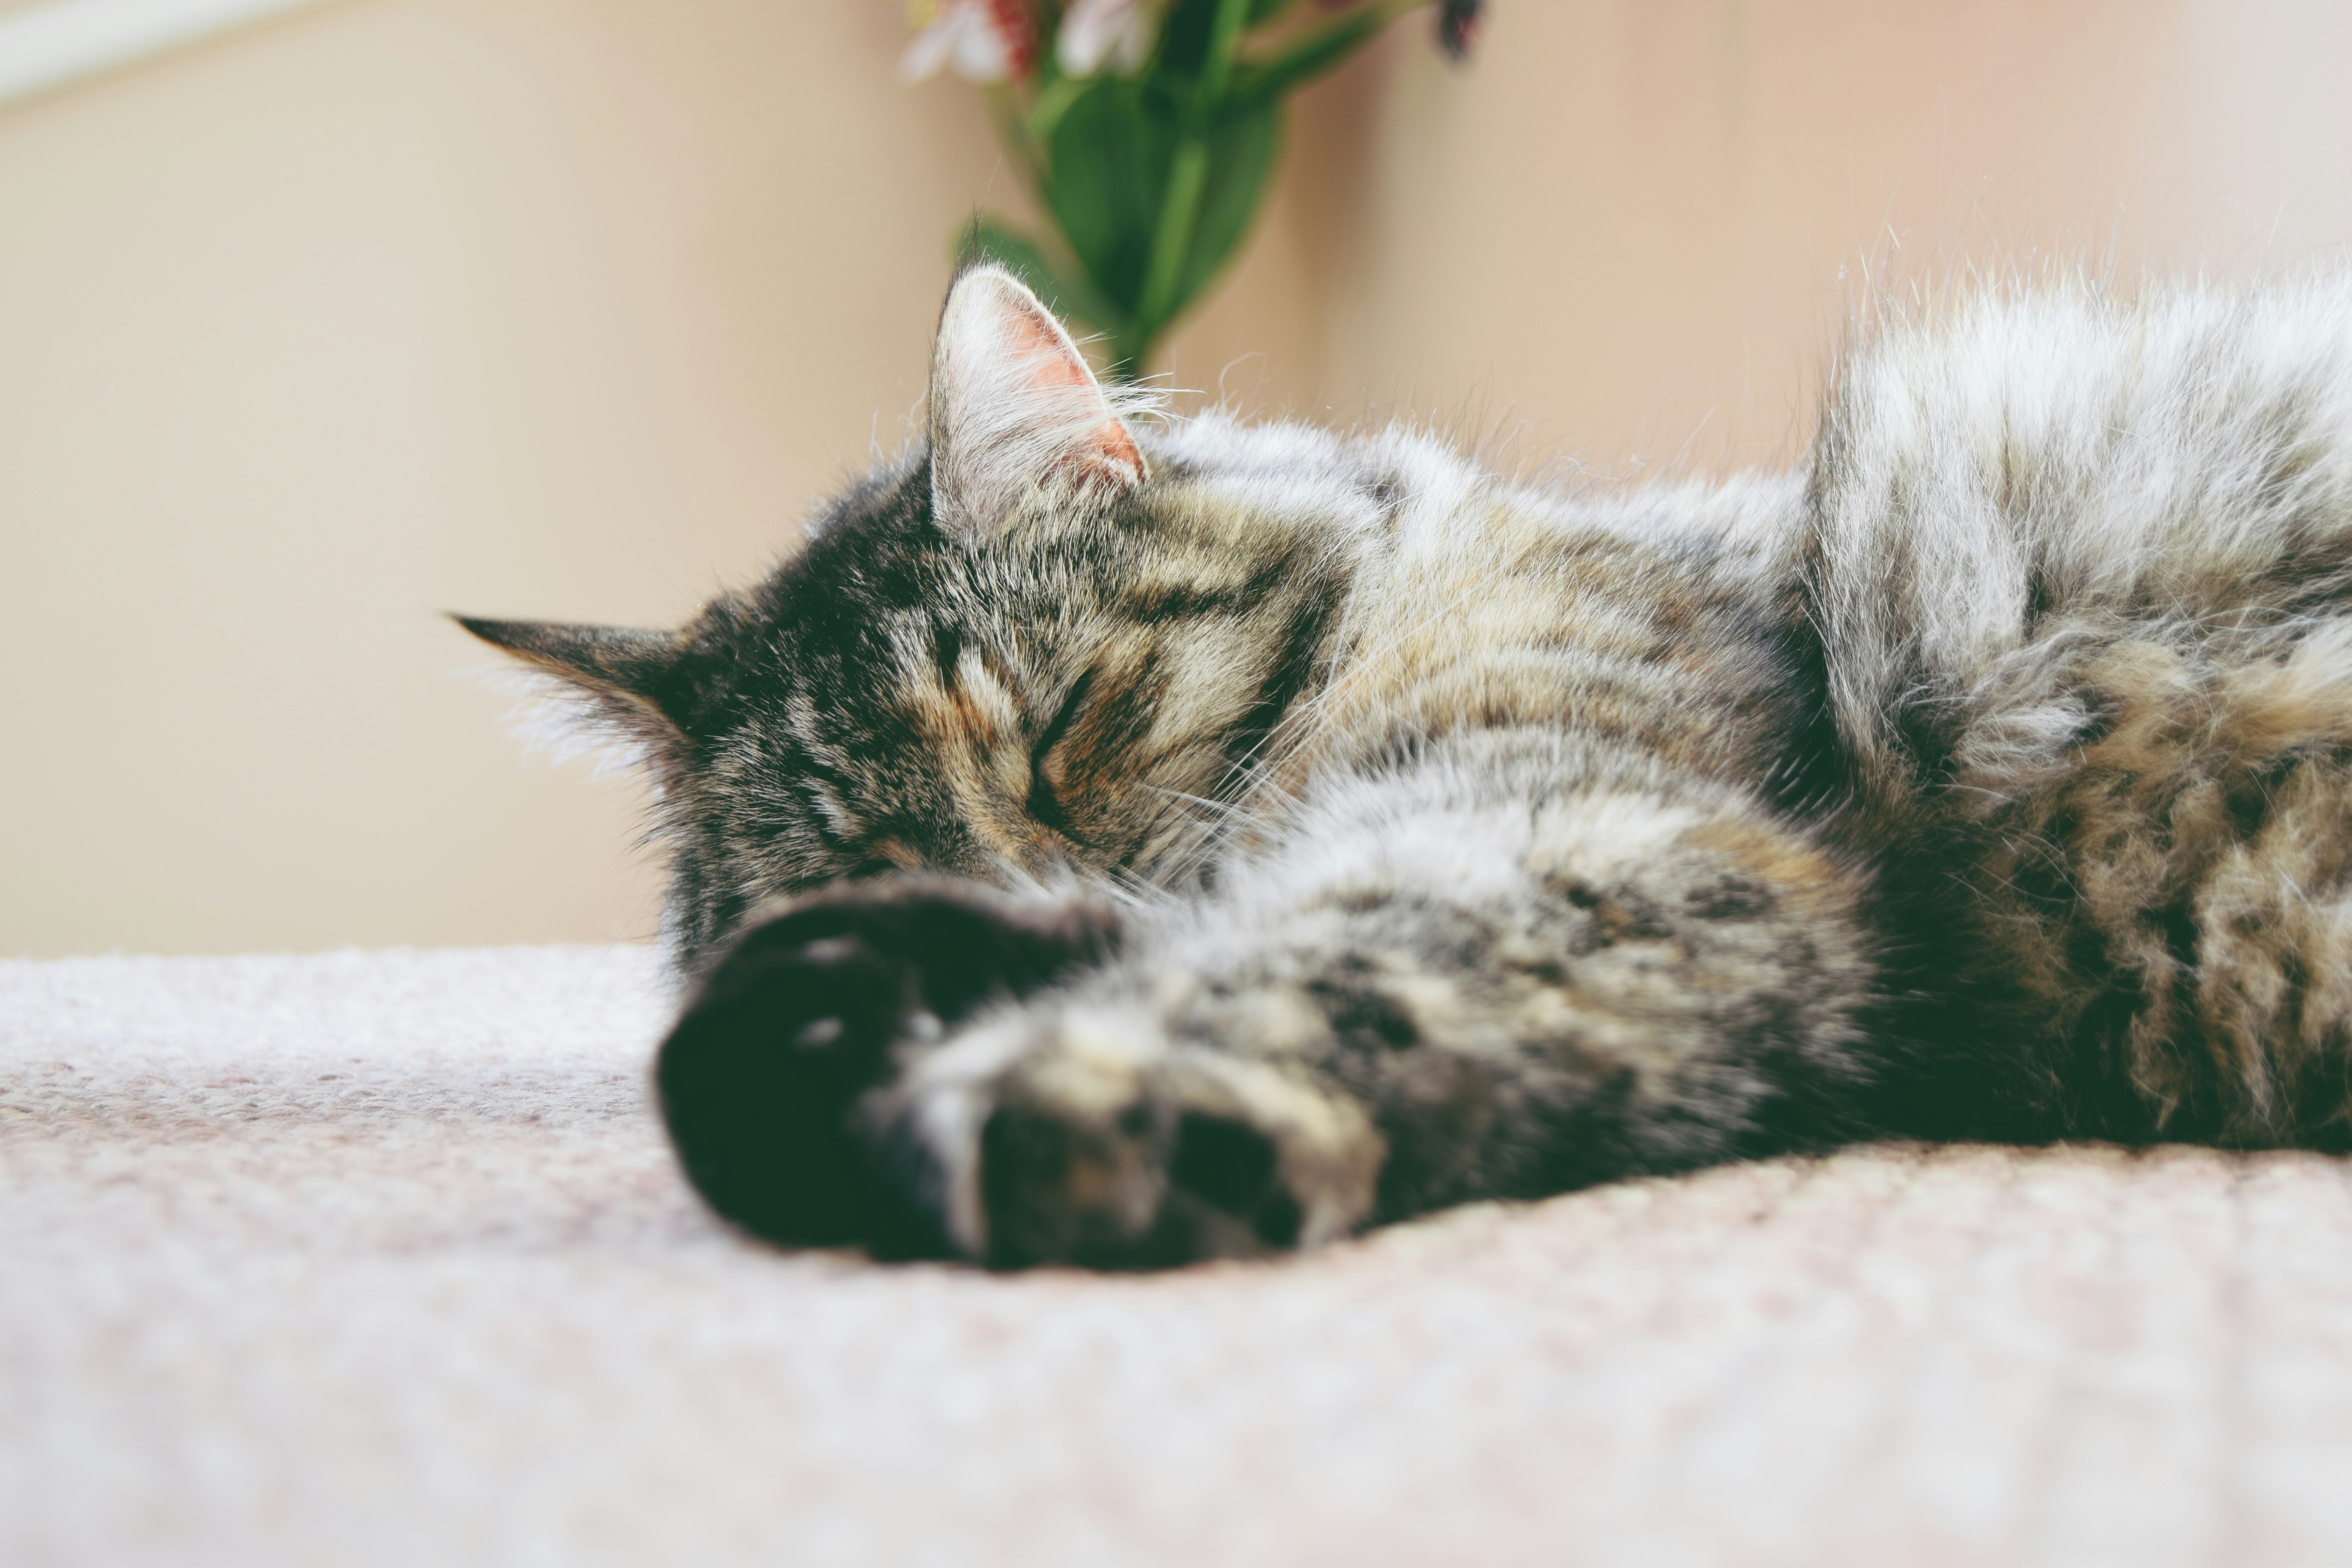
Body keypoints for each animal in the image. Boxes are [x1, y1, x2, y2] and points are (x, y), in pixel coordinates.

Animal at [463, 267, 2352, 1279]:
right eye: (862, 856)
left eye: (1067, 724)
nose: (1024, 878)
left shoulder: (1572, 825)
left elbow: (1310, 970)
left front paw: (1030, 1101)